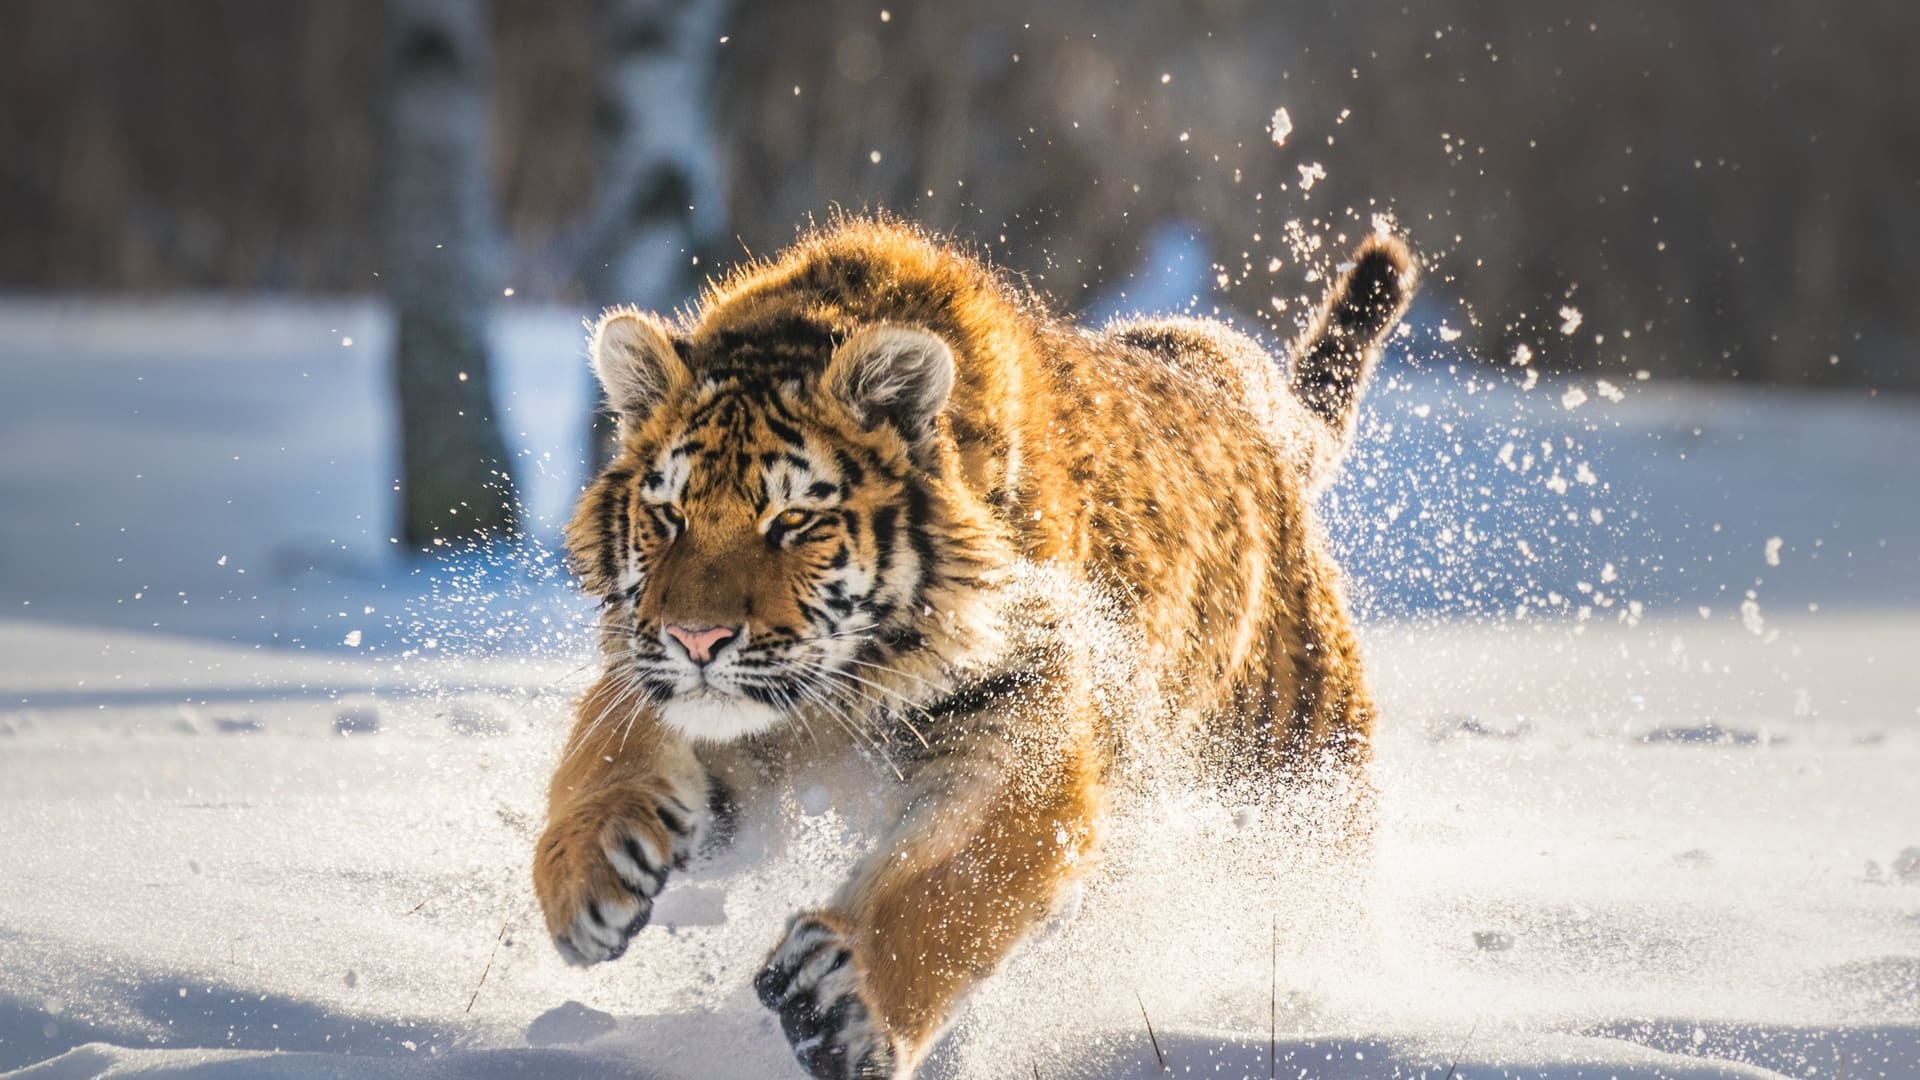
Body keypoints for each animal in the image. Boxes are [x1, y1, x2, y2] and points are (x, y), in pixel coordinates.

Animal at [532, 217, 1415, 1079]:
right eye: (668, 515)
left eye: (793, 521)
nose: (698, 638)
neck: (841, 691)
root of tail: (1241, 396)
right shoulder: (669, 684)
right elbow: (604, 751)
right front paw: (585, 875)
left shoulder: (1024, 732)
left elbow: (956, 881)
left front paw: (844, 1001)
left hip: (1299, 777)